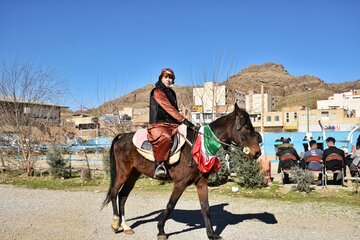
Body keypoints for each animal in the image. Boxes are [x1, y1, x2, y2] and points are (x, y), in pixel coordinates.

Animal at [101, 103, 262, 240]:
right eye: (246, 127)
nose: (257, 152)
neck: (199, 145)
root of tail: (122, 136)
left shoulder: (201, 183)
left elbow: (205, 208)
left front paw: (211, 234)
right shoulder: (180, 183)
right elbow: (170, 205)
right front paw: (161, 230)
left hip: (134, 174)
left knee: (122, 196)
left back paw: (125, 226)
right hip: (123, 173)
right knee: (114, 193)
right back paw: (115, 224)